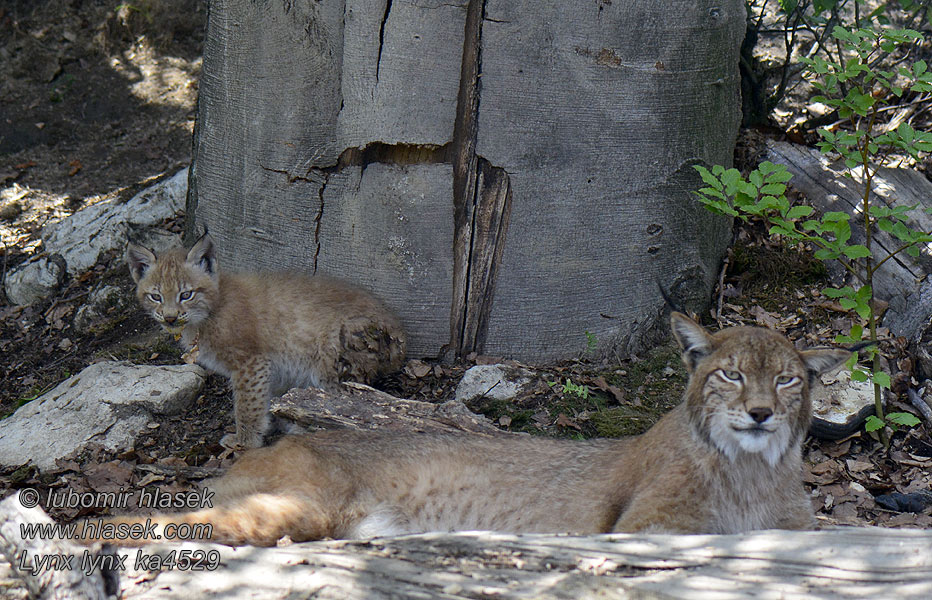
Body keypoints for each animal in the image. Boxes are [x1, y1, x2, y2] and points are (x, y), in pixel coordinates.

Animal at [89, 314, 852, 544]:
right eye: (730, 375)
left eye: (788, 381)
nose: (760, 413)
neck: (751, 466)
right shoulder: (644, 526)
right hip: (294, 504)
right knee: (162, 525)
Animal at [127, 234, 408, 450]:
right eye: (155, 297)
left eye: (186, 295)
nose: (171, 317)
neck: (205, 316)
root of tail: (400, 334)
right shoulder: (269, 366)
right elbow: (265, 396)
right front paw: (272, 420)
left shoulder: (250, 361)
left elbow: (247, 403)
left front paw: (245, 441)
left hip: (331, 359)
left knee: (350, 409)